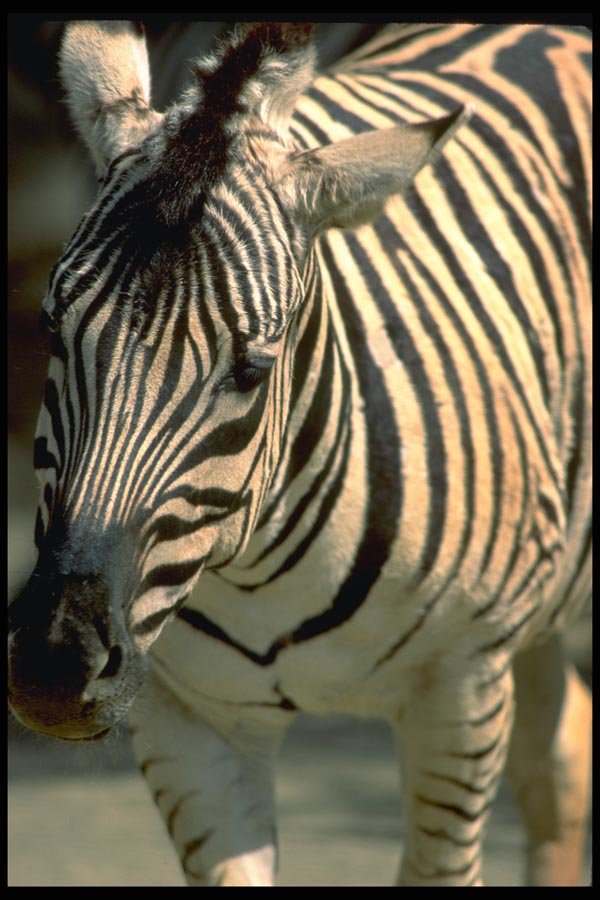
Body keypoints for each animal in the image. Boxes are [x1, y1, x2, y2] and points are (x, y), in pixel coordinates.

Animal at [8, 20, 591, 887]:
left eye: (252, 369)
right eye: (52, 331)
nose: (52, 668)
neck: (265, 568)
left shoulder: (461, 690)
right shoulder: (188, 725)